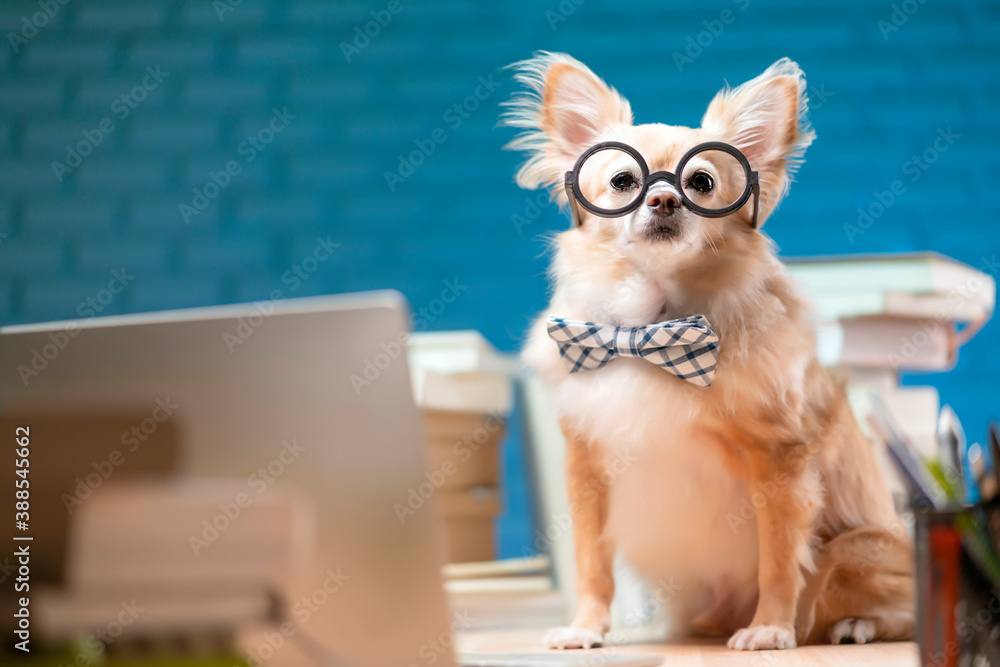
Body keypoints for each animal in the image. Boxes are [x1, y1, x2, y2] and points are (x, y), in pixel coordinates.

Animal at [508, 53, 916, 652]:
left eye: (701, 182)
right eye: (623, 181)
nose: (664, 199)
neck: (651, 329)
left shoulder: (780, 465)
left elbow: (779, 559)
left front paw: (770, 628)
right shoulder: (586, 466)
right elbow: (591, 561)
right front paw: (586, 627)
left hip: (860, 548)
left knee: (899, 605)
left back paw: (854, 625)